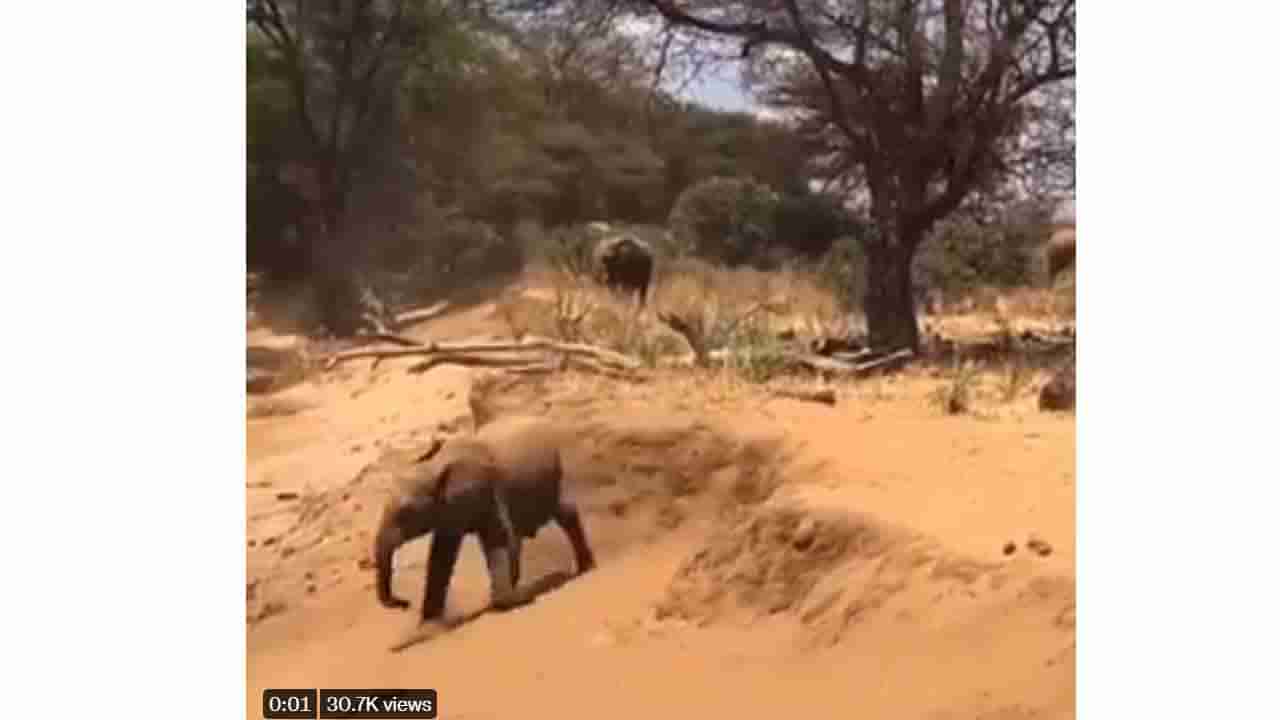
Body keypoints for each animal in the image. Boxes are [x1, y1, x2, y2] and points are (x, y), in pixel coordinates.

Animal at [373, 415, 596, 622]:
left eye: (405, 512)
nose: (404, 603)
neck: (433, 466)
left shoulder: (487, 489)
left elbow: (497, 539)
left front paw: (515, 600)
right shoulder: (449, 509)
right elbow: (441, 556)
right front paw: (428, 623)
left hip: (556, 471)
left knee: (566, 514)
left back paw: (585, 569)